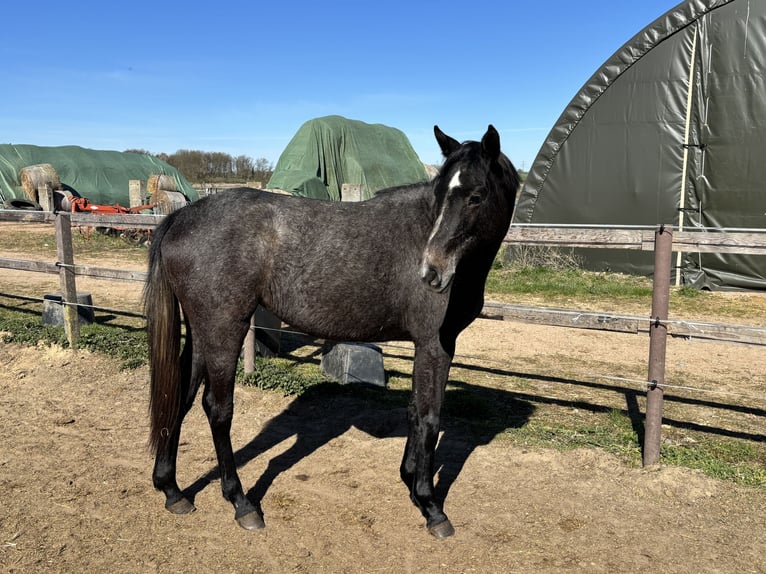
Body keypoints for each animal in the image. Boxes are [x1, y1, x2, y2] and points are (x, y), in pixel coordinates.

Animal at [144, 125, 520, 538]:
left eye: (476, 195)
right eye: (440, 195)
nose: (431, 272)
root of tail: (180, 217)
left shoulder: (432, 347)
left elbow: (414, 411)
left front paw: (410, 483)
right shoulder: (434, 345)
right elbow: (429, 417)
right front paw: (430, 504)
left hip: (202, 332)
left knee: (179, 396)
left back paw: (172, 490)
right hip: (224, 328)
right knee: (217, 409)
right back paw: (241, 503)